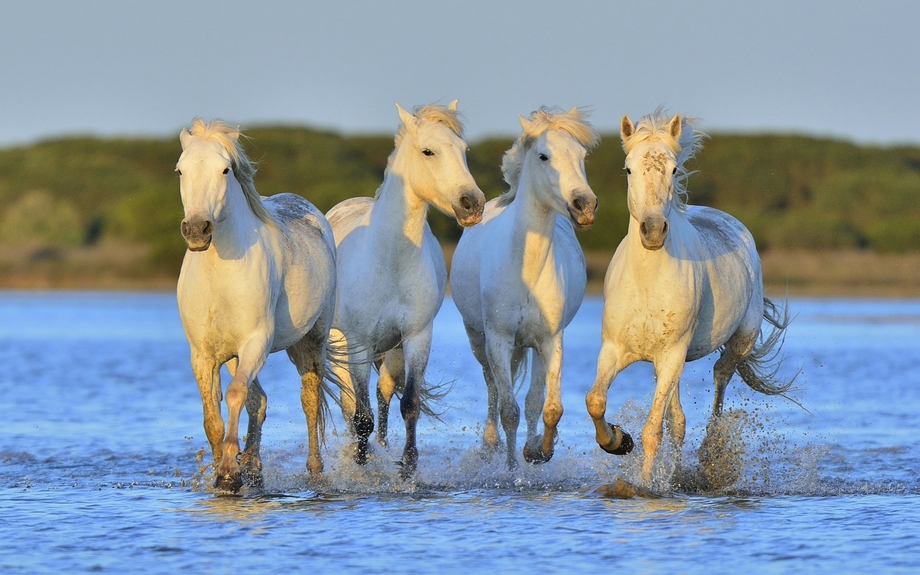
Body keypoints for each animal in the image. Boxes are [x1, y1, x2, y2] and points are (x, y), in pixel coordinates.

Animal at [175, 119, 337, 493]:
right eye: (180, 170)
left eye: (225, 169)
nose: (197, 230)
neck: (219, 276)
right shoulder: (203, 355)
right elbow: (212, 418)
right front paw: (226, 471)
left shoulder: (255, 343)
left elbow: (235, 395)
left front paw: (228, 473)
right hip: (236, 356)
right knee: (259, 401)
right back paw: (253, 468)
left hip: (312, 341)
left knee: (309, 399)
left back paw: (313, 470)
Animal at [326, 100, 484, 476]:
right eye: (428, 151)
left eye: (463, 150)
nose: (472, 204)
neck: (390, 260)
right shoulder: (359, 342)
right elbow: (361, 415)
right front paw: (361, 463)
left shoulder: (416, 336)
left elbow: (409, 403)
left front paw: (408, 465)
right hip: (341, 343)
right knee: (349, 402)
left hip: (393, 348)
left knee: (384, 392)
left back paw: (383, 447)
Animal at [451, 107, 599, 469]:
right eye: (544, 156)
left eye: (582, 156)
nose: (585, 206)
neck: (526, 270)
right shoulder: (499, 340)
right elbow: (509, 410)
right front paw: (511, 468)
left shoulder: (550, 340)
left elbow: (548, 407)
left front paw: (538, 452)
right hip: (479, 340)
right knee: (492, 388)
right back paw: (490, 445)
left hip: (531, 346)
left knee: (533, 399)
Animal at [584, 110, 794, 487]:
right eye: (628, 169)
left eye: (673, 169)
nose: (653, 231)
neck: (647, 282)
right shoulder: (615, 350)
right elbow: (596, 400)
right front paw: (619, 441)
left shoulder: (671, 355)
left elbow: (653, 431)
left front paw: (645, 486)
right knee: (678, 421)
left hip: (736, 342)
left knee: (720, 376)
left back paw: (711, 453)